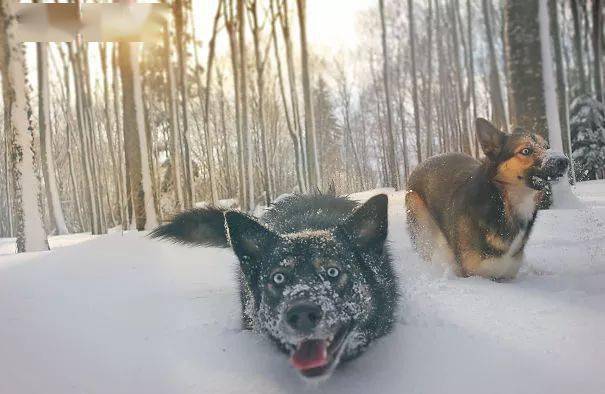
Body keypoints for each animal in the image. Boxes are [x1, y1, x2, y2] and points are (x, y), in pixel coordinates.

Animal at [406, 117, 568, 280]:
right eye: (526, 151)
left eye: (546, 146)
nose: (563, 161)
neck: (500, 203)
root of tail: (421, 164)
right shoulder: (474, 275)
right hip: (422, 226)